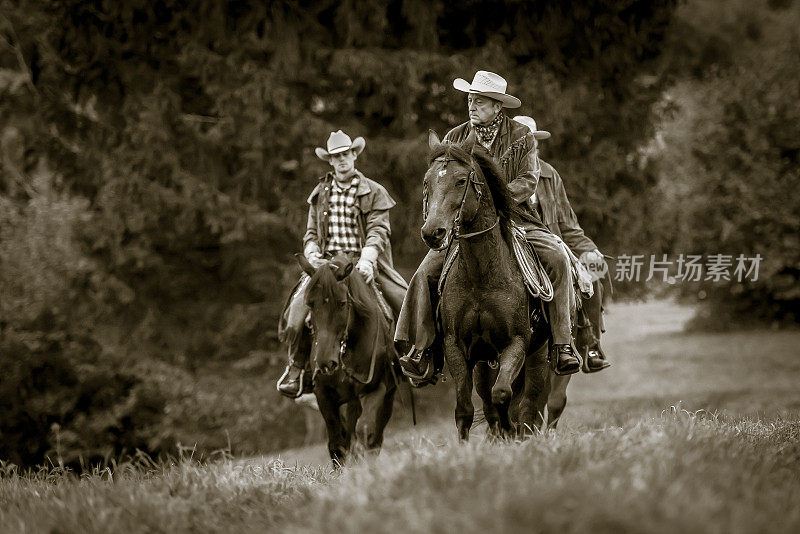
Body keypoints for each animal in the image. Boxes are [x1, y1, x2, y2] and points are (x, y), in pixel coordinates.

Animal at [296, 255, 398, 464]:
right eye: (310, 304)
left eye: (342, 303)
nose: (325, 362)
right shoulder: (323, 394)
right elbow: (337, 441)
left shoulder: (376, 388)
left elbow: (366, 431)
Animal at [424, 133, 552, 440]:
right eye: (427, 182)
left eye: (461, 180)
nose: (433, 232)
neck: (480, 277)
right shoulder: (456, 347)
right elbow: (465, 408)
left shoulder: (516, 342)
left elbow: (503, 394)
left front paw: (510, 429)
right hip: (483, 363)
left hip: (538, 359)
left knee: (528, 406)